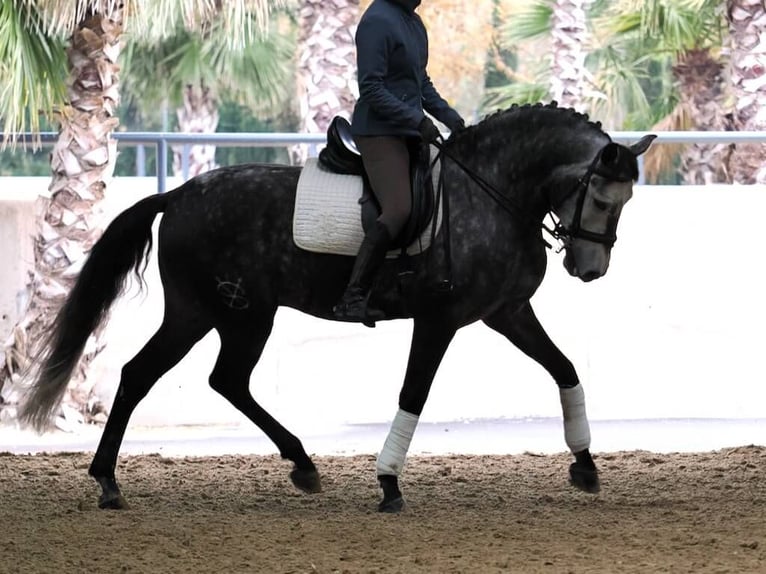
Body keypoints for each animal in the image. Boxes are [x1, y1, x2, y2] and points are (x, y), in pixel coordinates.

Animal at [18, 102, 656, 512]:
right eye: (603, 198)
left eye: (626, 201)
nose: (589, 269)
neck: (492, 193)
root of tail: (177, 195)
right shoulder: (440, 320)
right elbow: (414, 394)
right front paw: (389, 483)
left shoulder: (508, 312)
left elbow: (564, 369)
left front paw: (586, 465)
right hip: (228, 314)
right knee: (182, 377)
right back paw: (115, 481)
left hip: (215, 315)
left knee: (187, 378)